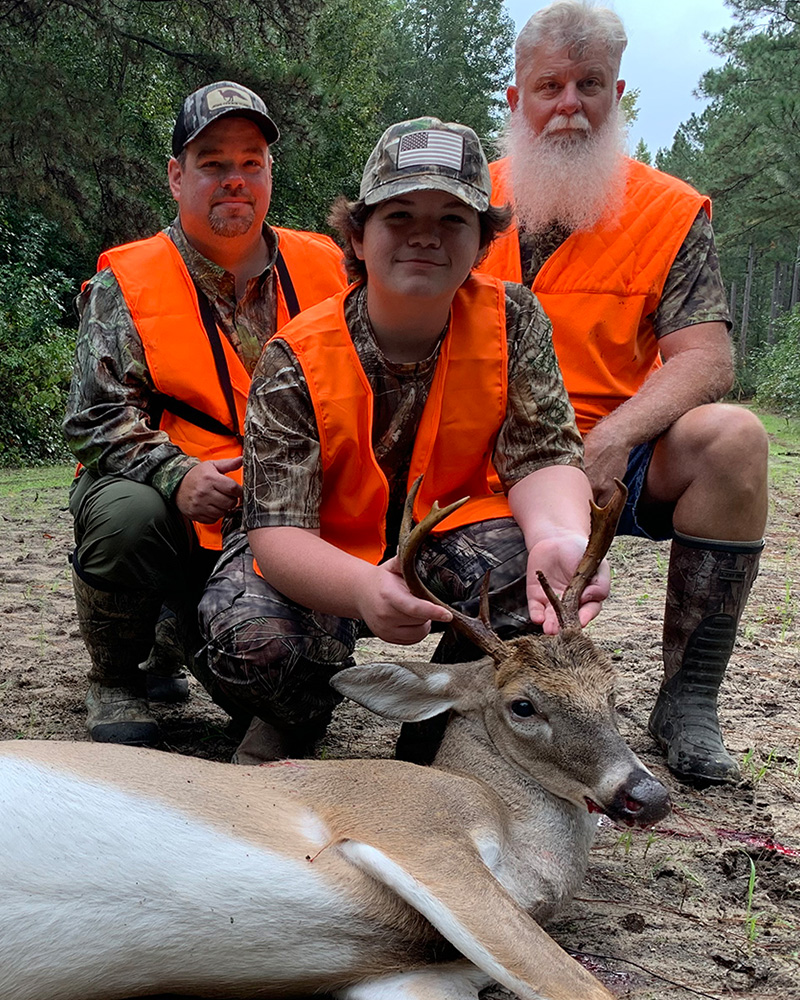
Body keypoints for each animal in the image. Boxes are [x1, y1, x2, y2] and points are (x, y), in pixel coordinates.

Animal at [0, 479, 670, 1000]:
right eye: (522, 705)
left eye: (612, 688)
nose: (649, 795)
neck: (520, 843)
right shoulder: (414, 828)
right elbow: (578, 984)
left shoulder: (411, 973)